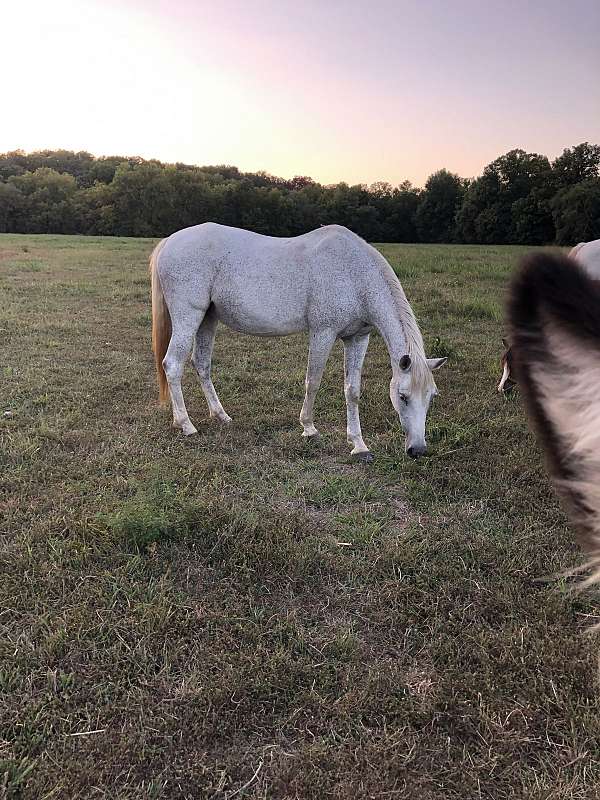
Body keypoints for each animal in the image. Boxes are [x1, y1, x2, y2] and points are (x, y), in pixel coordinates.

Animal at [150, 222, 446, 460]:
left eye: (431, 396)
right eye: (402, 396)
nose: (418, 450)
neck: (354, 274)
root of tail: (169, 241)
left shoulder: (358, 338)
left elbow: (352, 390)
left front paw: (359, 445)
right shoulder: (322, 332)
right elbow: (313, 381)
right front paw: (309, 428)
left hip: (207, 318)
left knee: (201, 364)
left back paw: (220, 415)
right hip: (189, 316)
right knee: (173, 365)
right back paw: (185, 424)